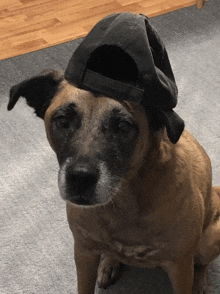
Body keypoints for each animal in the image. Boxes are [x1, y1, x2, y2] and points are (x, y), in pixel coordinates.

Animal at [8, 69, 220, 294]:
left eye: (123, 126)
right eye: (63, 120)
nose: (80, 177)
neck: (123, 201)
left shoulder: (180, 266)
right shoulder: (84, 253)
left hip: (208, 241)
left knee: (202, 264)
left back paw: (200, 284)